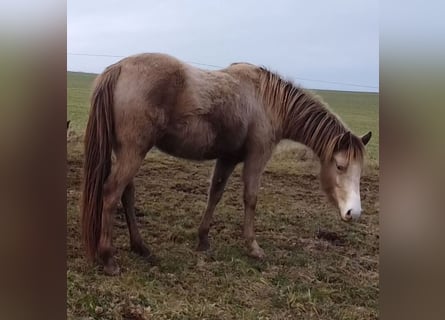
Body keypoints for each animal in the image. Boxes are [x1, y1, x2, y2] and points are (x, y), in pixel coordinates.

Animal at [80, 53, 372, 276]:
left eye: (359, 170)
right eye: (340, 166)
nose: (354, 213)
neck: (266, 100)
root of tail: (118, 68)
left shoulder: (228, 158)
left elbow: (215, 194)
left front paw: (203, 239)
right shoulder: (256, 158)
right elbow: (250, 198)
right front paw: (253, 247)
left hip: (127, 152)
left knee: (126, 194)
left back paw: (140, 247)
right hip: (133, 152)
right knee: (111, 194)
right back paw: (108, 259)